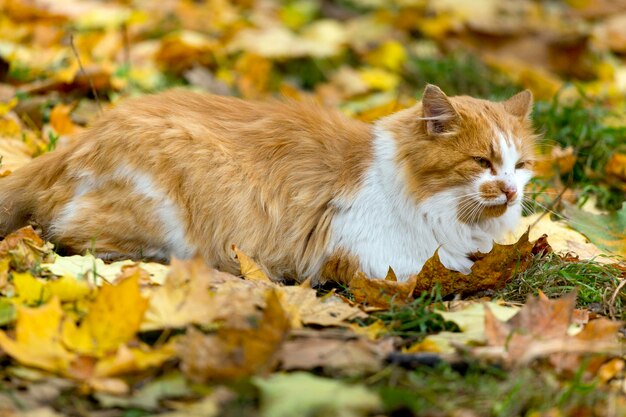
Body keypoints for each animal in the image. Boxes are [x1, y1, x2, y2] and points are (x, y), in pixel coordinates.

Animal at [0, 84, 536, 282]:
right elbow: (448, 267)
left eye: (520, 165)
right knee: (70, 236)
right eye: (483, 162)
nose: (510, 191)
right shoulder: (376, 258)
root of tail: (85, 135)